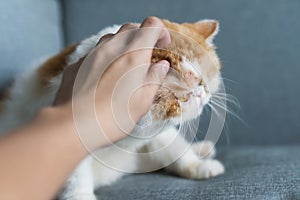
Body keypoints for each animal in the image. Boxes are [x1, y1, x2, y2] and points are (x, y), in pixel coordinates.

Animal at [0, 18, 225, 198]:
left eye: (203, 81)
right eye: (180, 95)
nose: (200, 93)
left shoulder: (156, 135)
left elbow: (175, 149)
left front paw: (198, 165)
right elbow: (75, 179)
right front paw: (81, 196)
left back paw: (202, 149)